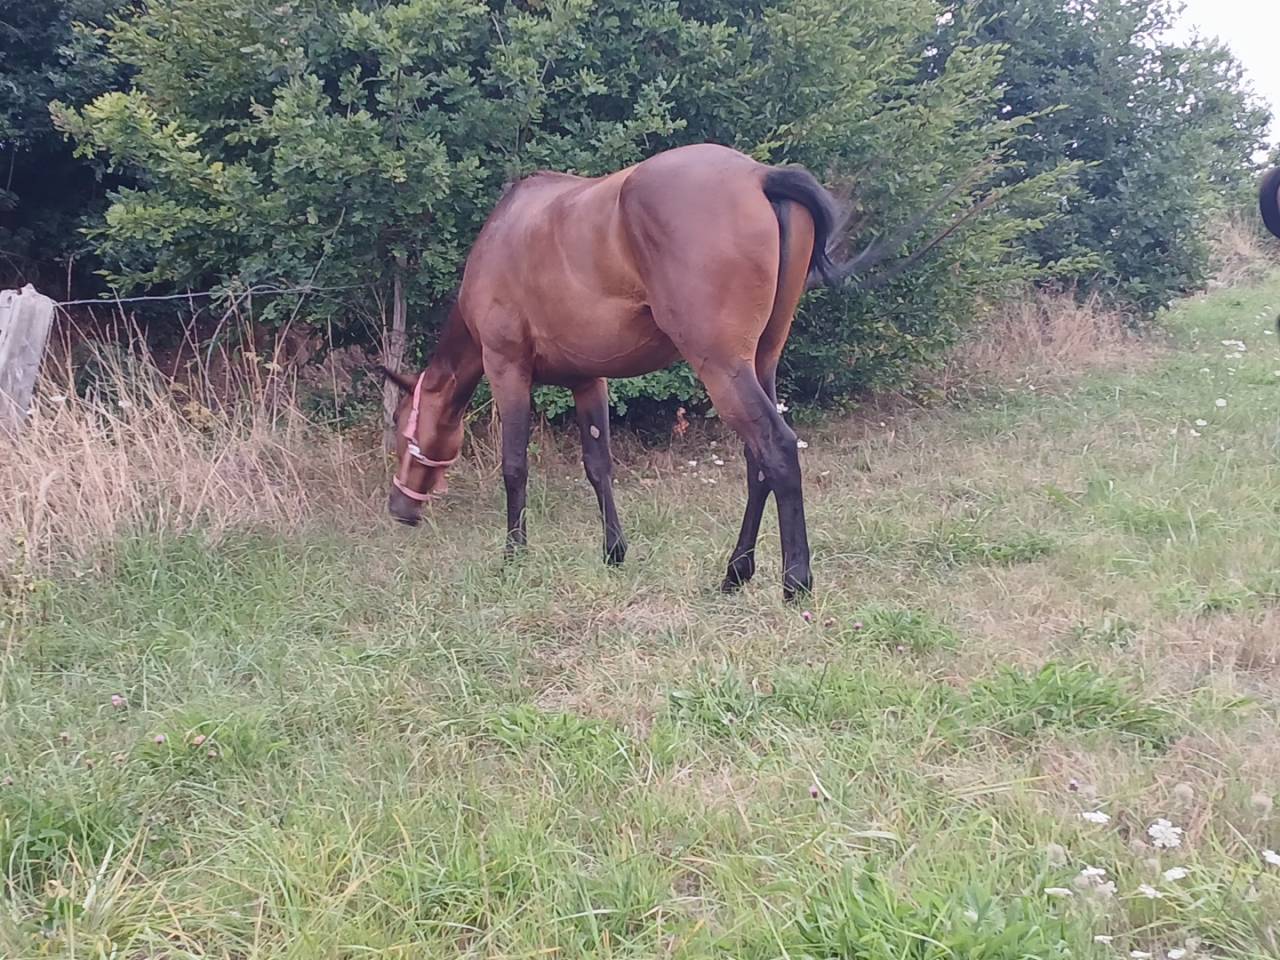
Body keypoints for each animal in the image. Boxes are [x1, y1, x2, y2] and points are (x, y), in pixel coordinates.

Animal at [379, 142, 945, 599]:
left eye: (405, 432)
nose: (399, 510)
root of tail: (760, 175)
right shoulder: (588, 380)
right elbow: (598, 465)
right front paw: (613, 552)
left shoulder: (507, 369)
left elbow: (515, 467)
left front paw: (514, 557)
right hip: (760, 362)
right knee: (757, 460)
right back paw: (736, 573)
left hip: (721, 367)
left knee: (777, 449)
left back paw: (794, 583)